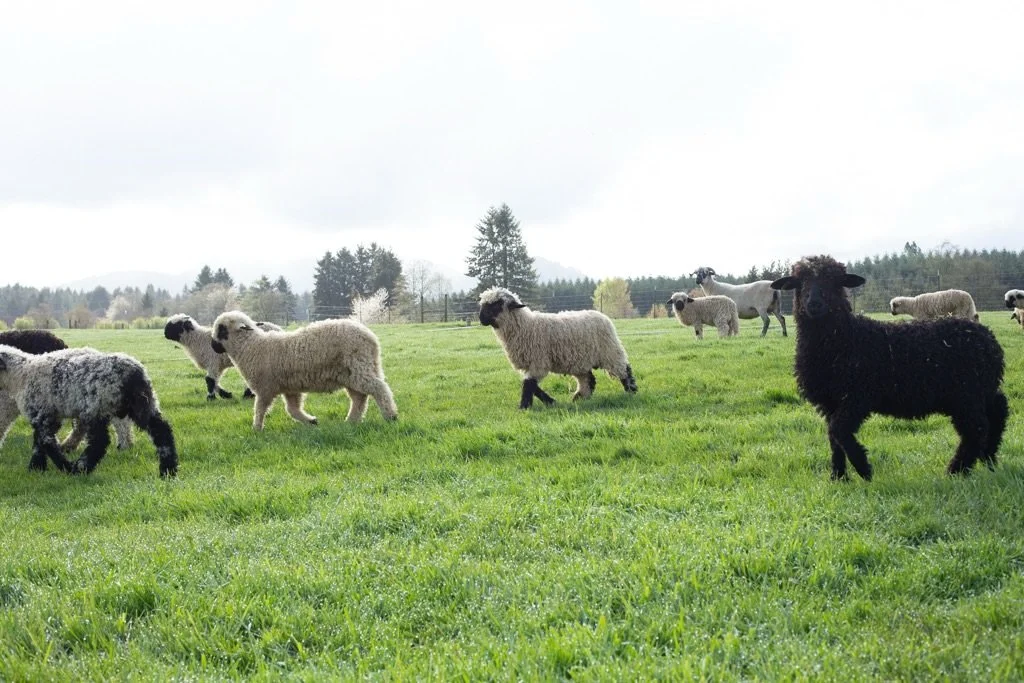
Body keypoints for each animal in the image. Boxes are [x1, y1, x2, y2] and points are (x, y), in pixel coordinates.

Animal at [0, 345, 178, 477]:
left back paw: (80, 468)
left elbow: (46, 442)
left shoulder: (42, 414)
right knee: (162, 430)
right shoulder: (49, 416)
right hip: (142, 403)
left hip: (96, 407)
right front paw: (36, 468)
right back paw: (168, 469)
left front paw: (63, 466)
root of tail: (133, 374)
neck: (20, 375)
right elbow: (39, 442)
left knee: (100, 441)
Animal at [210, 311, 398, 430]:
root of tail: (371, 338)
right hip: (355, 372)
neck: (250, 346)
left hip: (358, 367)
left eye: (221, 328)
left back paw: (391, 416)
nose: (213, 346)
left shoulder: (265, 389)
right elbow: (292, 409)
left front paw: (256, 428)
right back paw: (351, 421)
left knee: (378, 388)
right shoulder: (290, 388)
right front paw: (311, 421)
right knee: (360, 398)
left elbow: (260, 409)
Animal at [478, 287, 638, 408]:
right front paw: (550, 402)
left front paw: (524, 406)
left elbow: (528, 384)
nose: (481, 319)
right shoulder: (530, 364)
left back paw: (631, 391)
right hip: (579, 359)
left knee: (624, 370)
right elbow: (531, 385)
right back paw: (579, 398)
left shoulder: (538, 361)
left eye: (497, 304)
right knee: (588, 379)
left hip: (609, 351)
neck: (525, 326)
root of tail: (603, 316)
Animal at [771, 255, 1007, 481]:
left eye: (834, 281)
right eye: (799, 282)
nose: (814, 304)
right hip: (979, 391)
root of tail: (989, 339)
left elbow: (838, 430)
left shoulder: (857, 397)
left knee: (976, 428)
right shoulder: (831, 401)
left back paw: (957, 470)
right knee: (998, 409)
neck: (845, 337)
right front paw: (838, 477)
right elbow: (833, 438)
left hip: (966, 394)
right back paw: (989, 458)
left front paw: (864, 469)